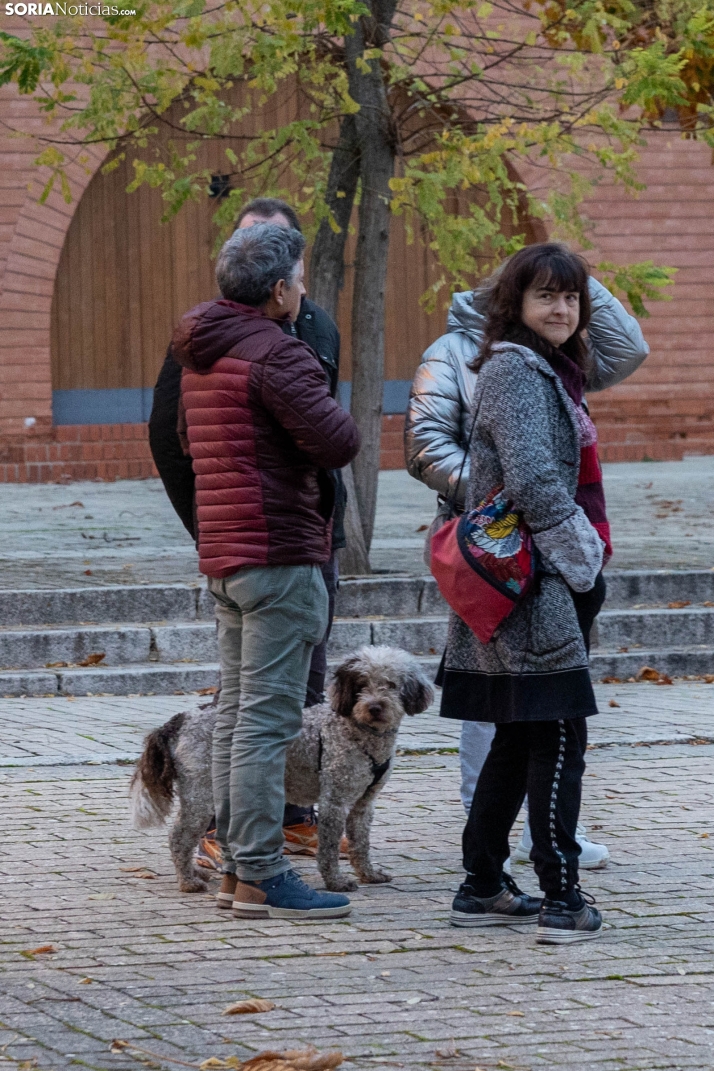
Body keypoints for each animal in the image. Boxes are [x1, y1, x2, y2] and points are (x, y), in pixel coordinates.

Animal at [130, 646, 432, 891]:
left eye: (390, 684)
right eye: (361, 684)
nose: (375, 707)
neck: (357, 731)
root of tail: (183, 718)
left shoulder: (363, 804)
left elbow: (361, 844)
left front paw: (368, 874)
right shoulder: (334, 800)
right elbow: (329, 848)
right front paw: (335, 881)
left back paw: (194, 873)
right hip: (202, 795)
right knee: (179, 837)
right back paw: (188, 881)